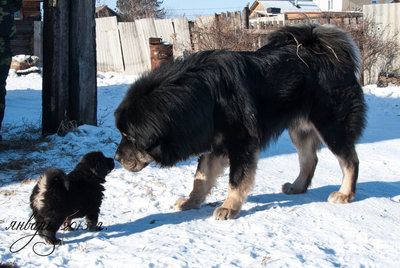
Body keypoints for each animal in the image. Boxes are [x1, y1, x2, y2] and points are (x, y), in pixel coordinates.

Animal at [115, 24, 366, 220]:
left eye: (130, 137)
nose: (116, 158)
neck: (204, 97)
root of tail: (324, 50)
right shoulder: (214, 144)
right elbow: (200, 178)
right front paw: (190, 202)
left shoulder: (241, 143)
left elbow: (236, 180)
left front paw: (229, 207)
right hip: (299, 129)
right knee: (309, 159)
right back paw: (297, 187)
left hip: (331, 126)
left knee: (350, 160)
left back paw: (345, 194)